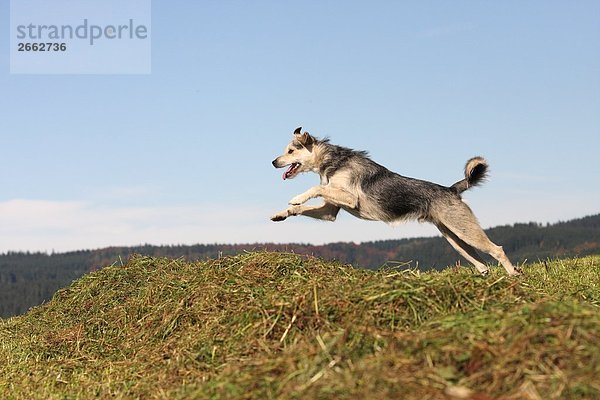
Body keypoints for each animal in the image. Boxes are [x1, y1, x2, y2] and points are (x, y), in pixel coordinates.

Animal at [270, 126, 520, 276]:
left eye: (290, 151)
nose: (273, 162)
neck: (332, 160)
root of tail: (451, 190)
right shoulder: (330, 211)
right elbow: (304, 207)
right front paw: (282, 213)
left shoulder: (350, 198)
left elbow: (316, 188)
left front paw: (296, 197)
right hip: (455, 238)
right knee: (481, 263)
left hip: (465, 231)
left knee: (497, 250)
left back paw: (513, 276)